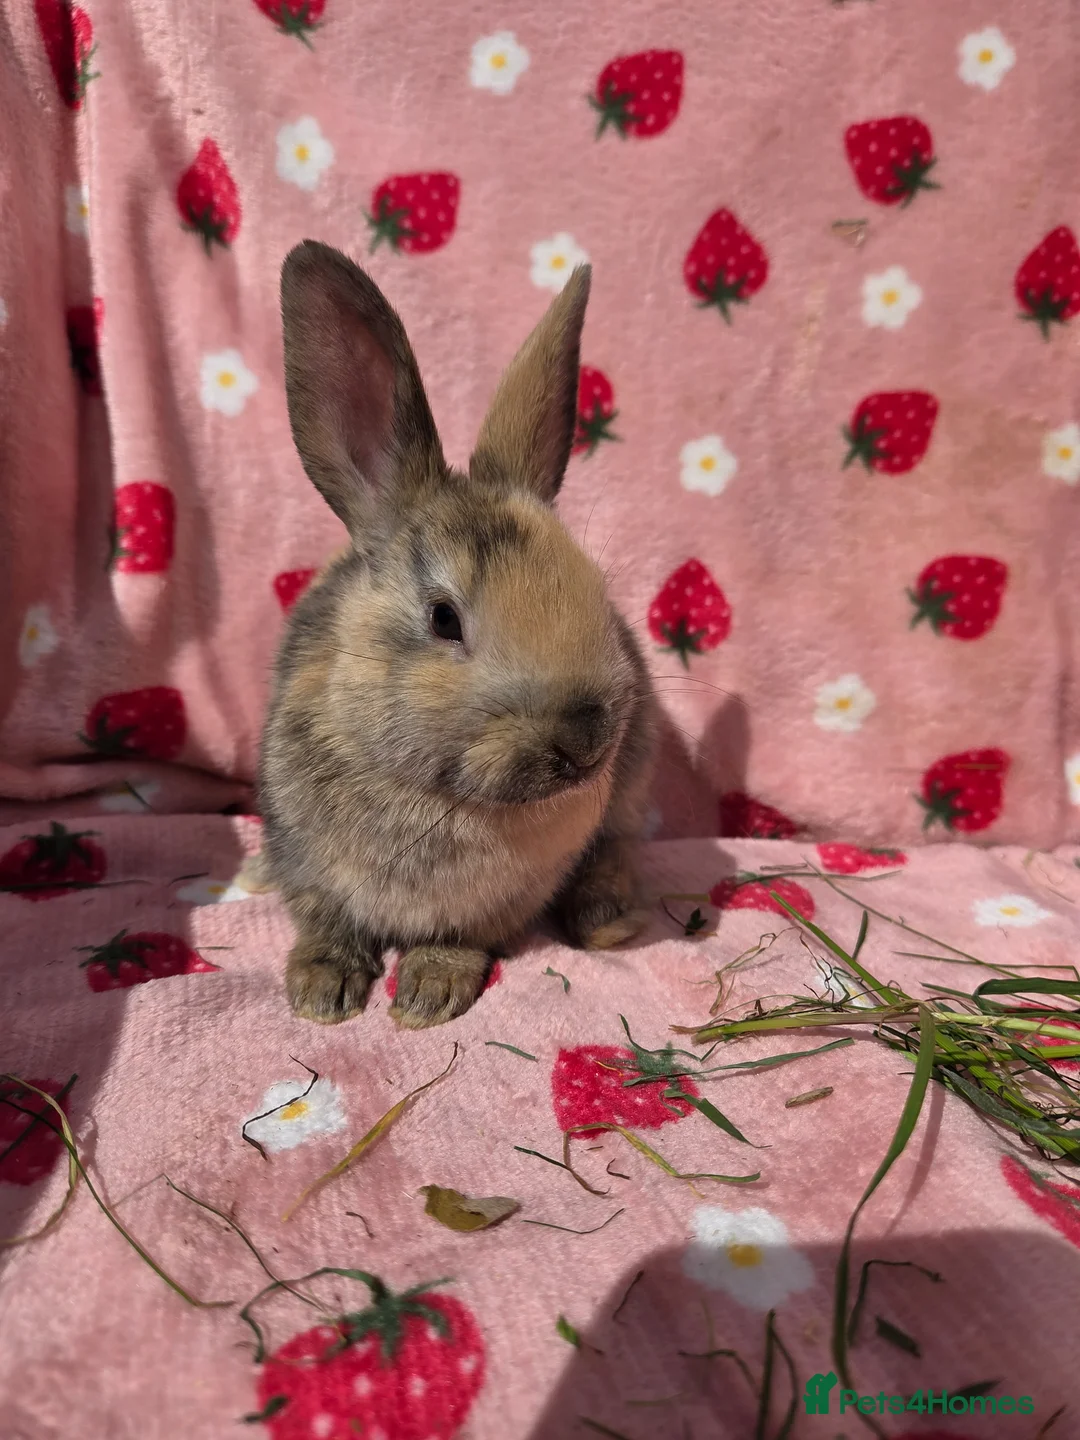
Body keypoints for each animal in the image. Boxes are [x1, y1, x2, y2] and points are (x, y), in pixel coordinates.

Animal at [255, 239, 657, 1030]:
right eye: (444, 619)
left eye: (599, 596)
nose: (587, 742)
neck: (441, 797)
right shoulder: (305, 862)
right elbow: (324, 919)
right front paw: (322, 991)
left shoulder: (500, 903)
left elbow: (460, 938)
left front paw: (427, 995)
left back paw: (610, 923)